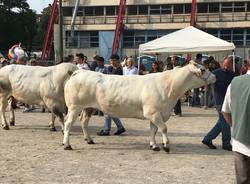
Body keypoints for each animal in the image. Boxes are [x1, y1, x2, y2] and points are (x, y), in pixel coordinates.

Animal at [62, 61, 215, 152]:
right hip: (74, 106)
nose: (215, 77)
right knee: (68, 123)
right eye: (203, 69)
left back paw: (89, 140)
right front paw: (166, 145)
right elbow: (164, 128)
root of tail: (79, 72)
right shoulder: (153, 112)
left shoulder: (157, 113)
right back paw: (67, 144)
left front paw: (154, 145)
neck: (169, 87)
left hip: (88, 107)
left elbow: (153, 130)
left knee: (83, 122)